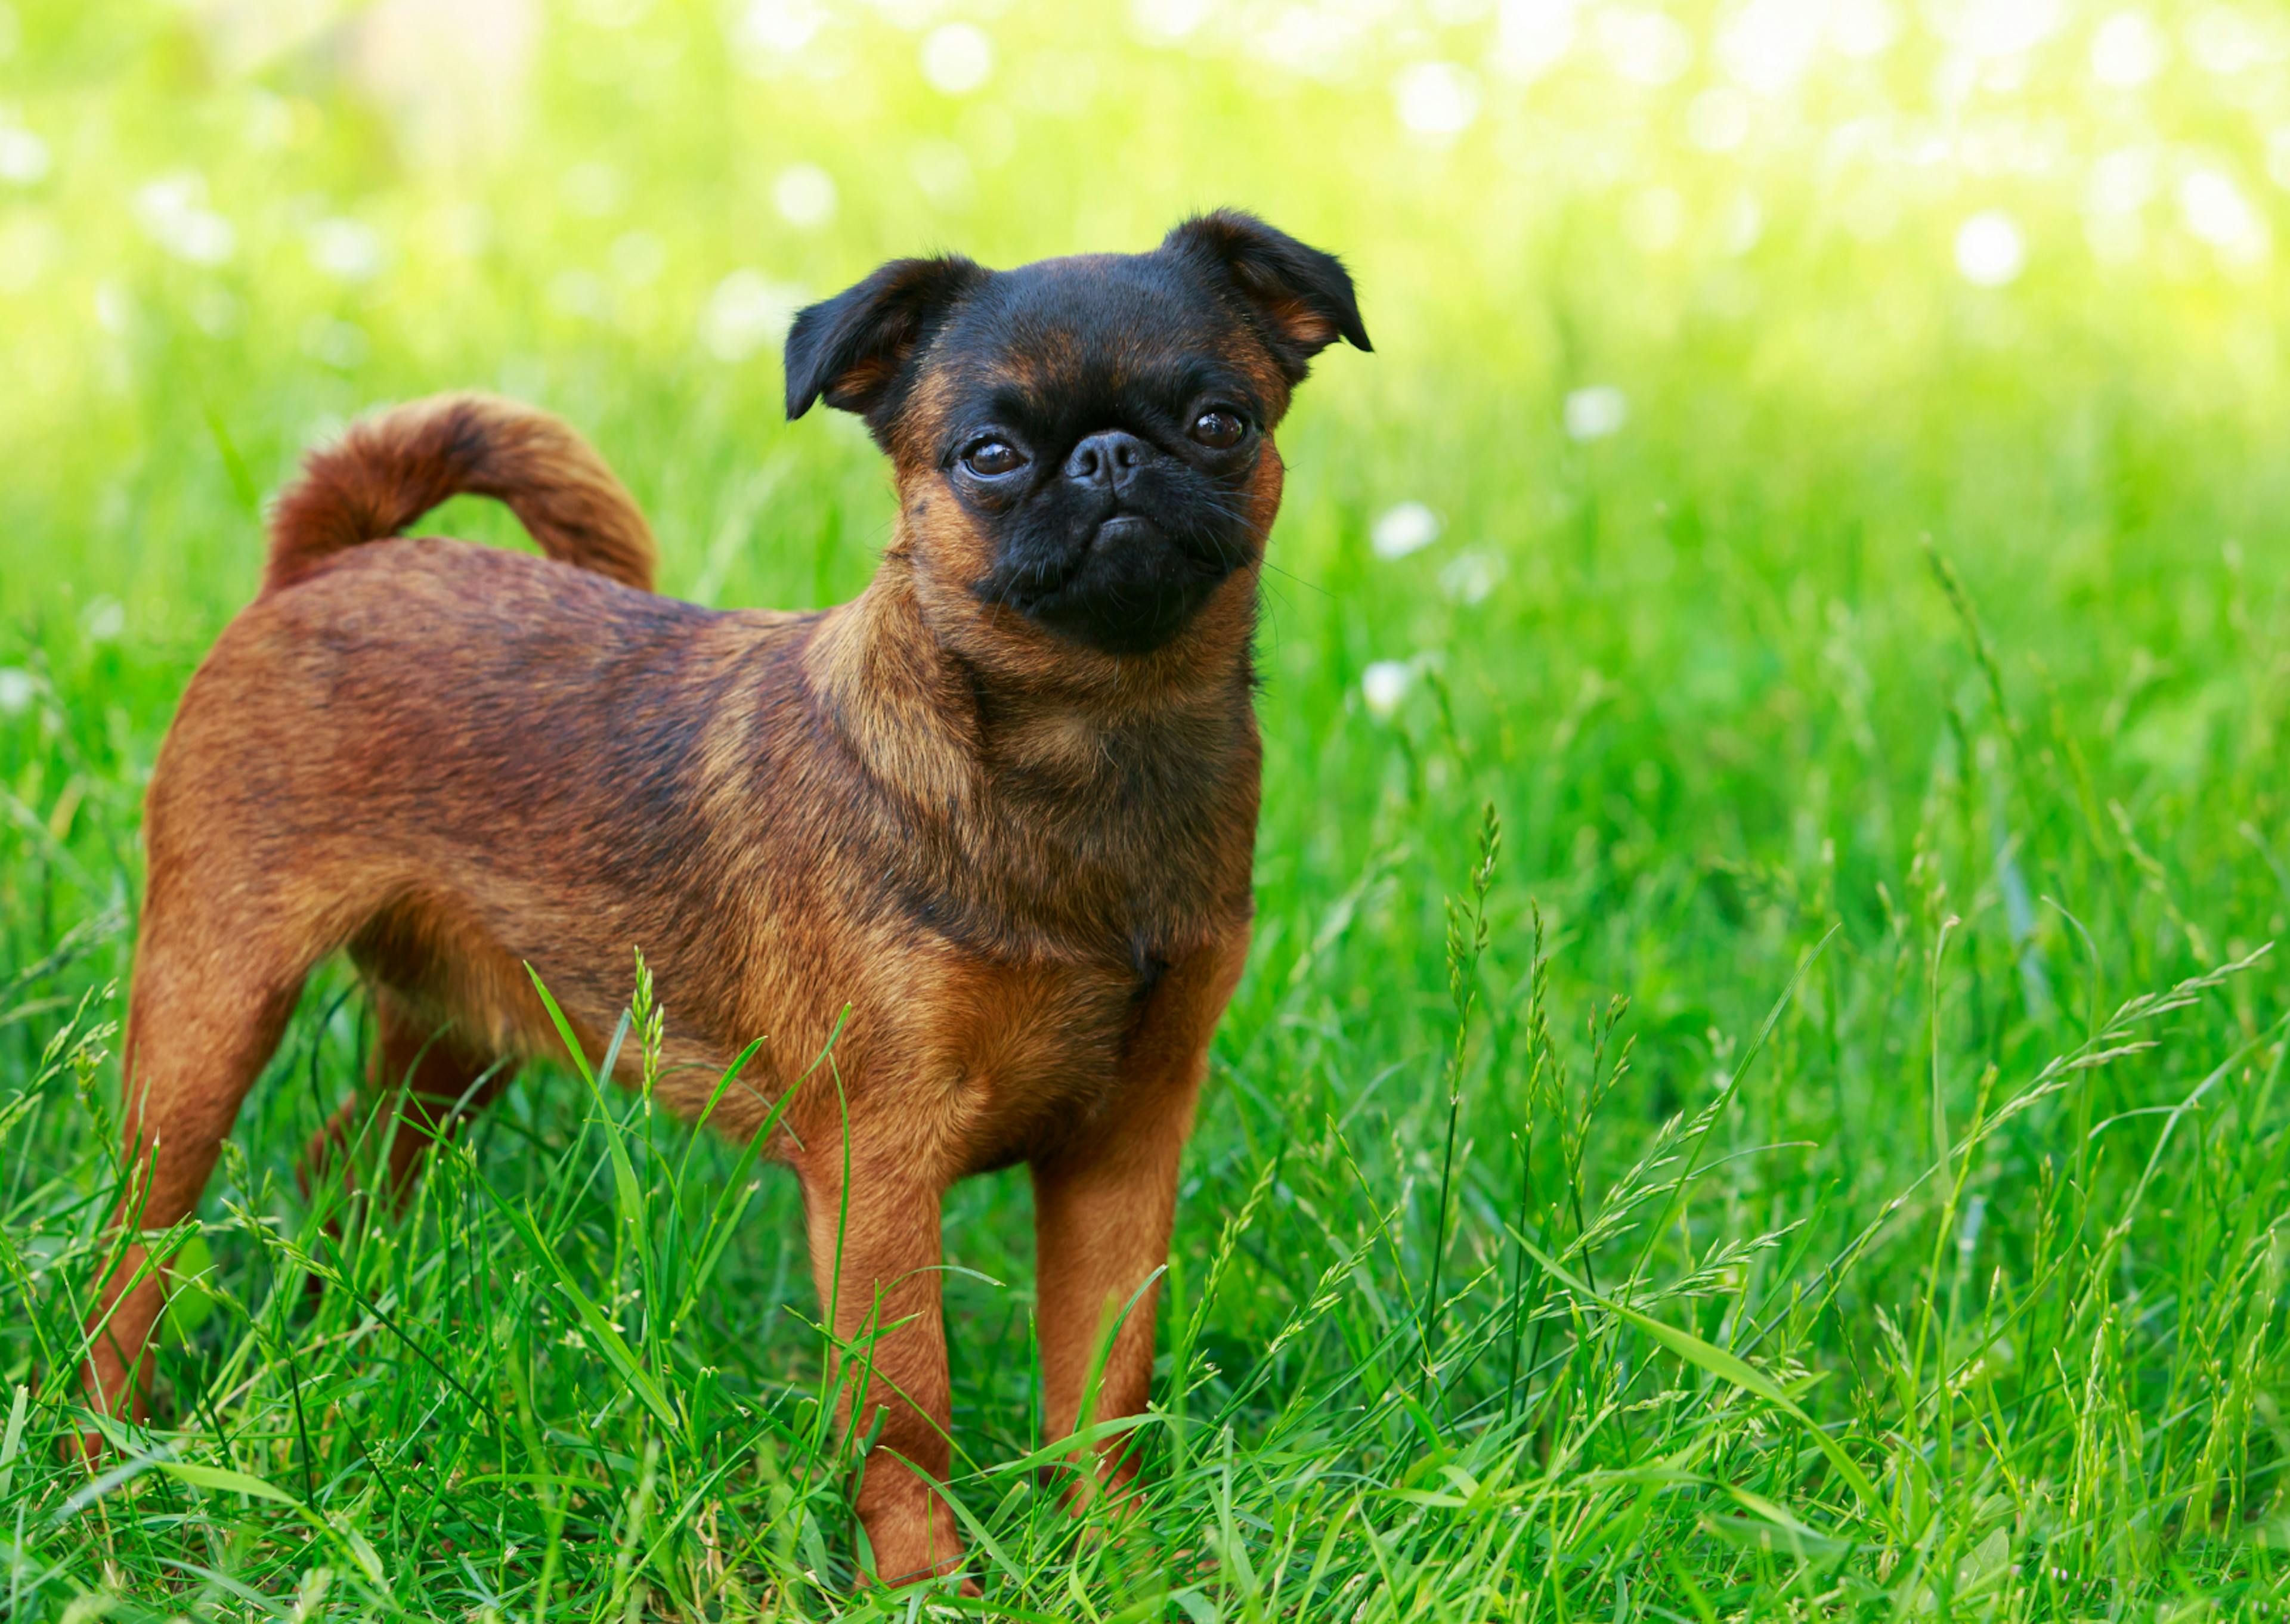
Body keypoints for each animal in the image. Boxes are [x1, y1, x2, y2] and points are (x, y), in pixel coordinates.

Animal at [81, 212, 1364, 1585]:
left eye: (1222, 422)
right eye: (992, 455)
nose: (1114, 456)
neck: (1092, 744)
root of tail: (332, 564)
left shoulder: (1125, 1140)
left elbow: (1102, 1383)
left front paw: (1116, 1559)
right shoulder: (879, 1161)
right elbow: (907, 1406)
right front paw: (925, 1582)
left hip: (458, 1037)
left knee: (347, 1166)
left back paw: (324, 1344)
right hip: (209, 1014)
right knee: (134, 1248)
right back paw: (101, 1454)